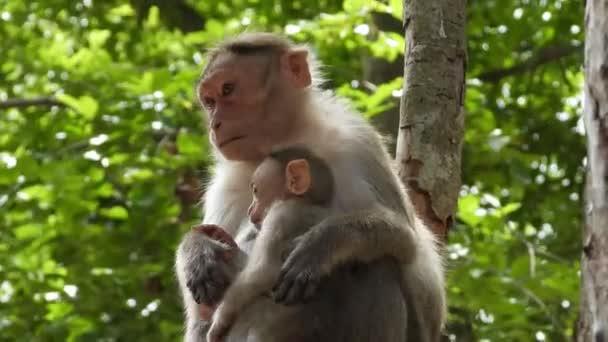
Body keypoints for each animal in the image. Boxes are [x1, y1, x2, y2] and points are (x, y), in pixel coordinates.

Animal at [208, 146, 332, 342]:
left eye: (255, 190)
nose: (250, 209)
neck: (304, 202)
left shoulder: (279, 214)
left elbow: (263, 271)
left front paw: (220, 320)